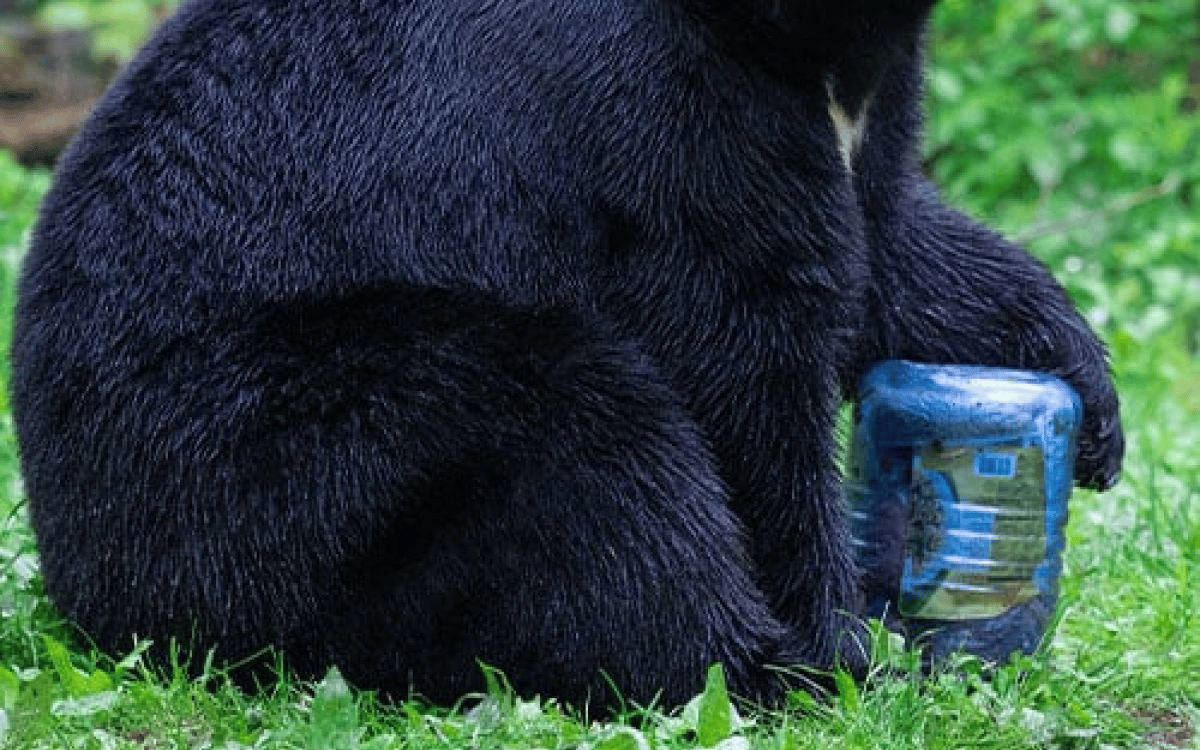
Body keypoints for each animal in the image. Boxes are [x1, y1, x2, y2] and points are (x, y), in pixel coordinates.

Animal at [11, 0, 1123, 713]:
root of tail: (85, 579)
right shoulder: (660, 99)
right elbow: (741, 343)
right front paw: (839, 643)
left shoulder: (855, 95)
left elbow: (890, 242)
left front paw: (1088, 402)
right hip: (262, 445)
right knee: (584, 438)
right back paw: (751, 666)